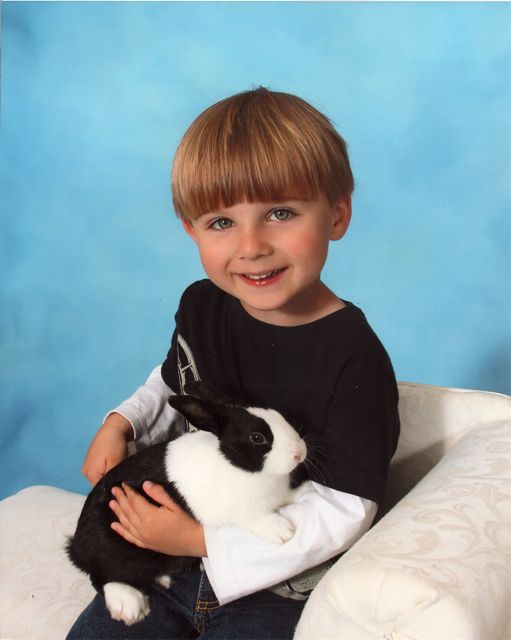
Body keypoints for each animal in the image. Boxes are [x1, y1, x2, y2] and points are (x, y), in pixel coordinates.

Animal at [66, 381, 311, 625]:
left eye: (281, 416)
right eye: (257, 438)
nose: (299, 452)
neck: (239, 466)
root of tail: (76, 547)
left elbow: (287, 496)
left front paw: (304, 490)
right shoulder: (234, 510)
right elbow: (253, 518)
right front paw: (283, 531)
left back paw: (162, 579)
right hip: (116, 548)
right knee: (101, 575)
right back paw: (129, 605)